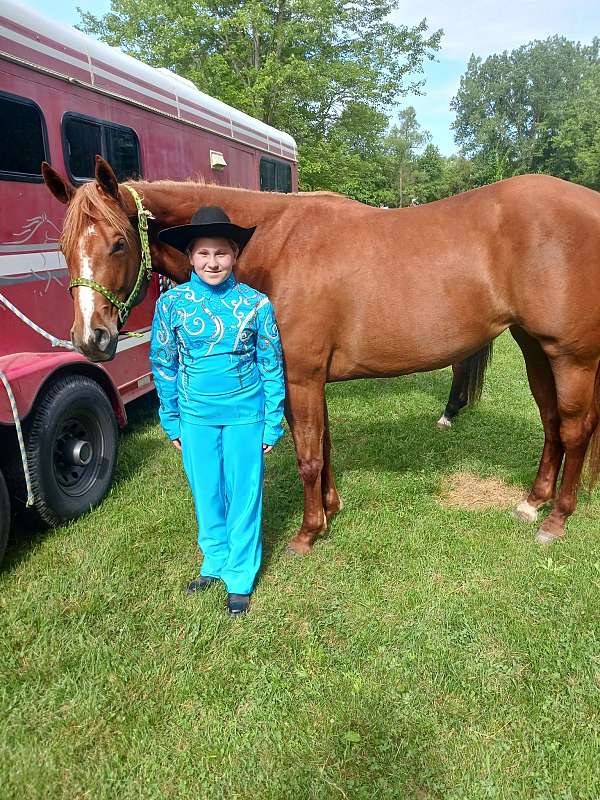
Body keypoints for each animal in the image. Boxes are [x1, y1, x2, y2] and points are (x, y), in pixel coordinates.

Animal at [42, 156, 600, 552]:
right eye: (64, 247)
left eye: (118, 243)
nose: (91, 339)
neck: (275, 244)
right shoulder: (306, 379)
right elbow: (324, 446)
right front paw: (331, 510)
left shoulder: (300, 377)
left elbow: (308, 455)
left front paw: (308, 532)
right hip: (535, 348)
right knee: (552, 423)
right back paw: (533, 501)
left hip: (571, 356)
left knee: (575, 428)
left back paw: (556, 518)